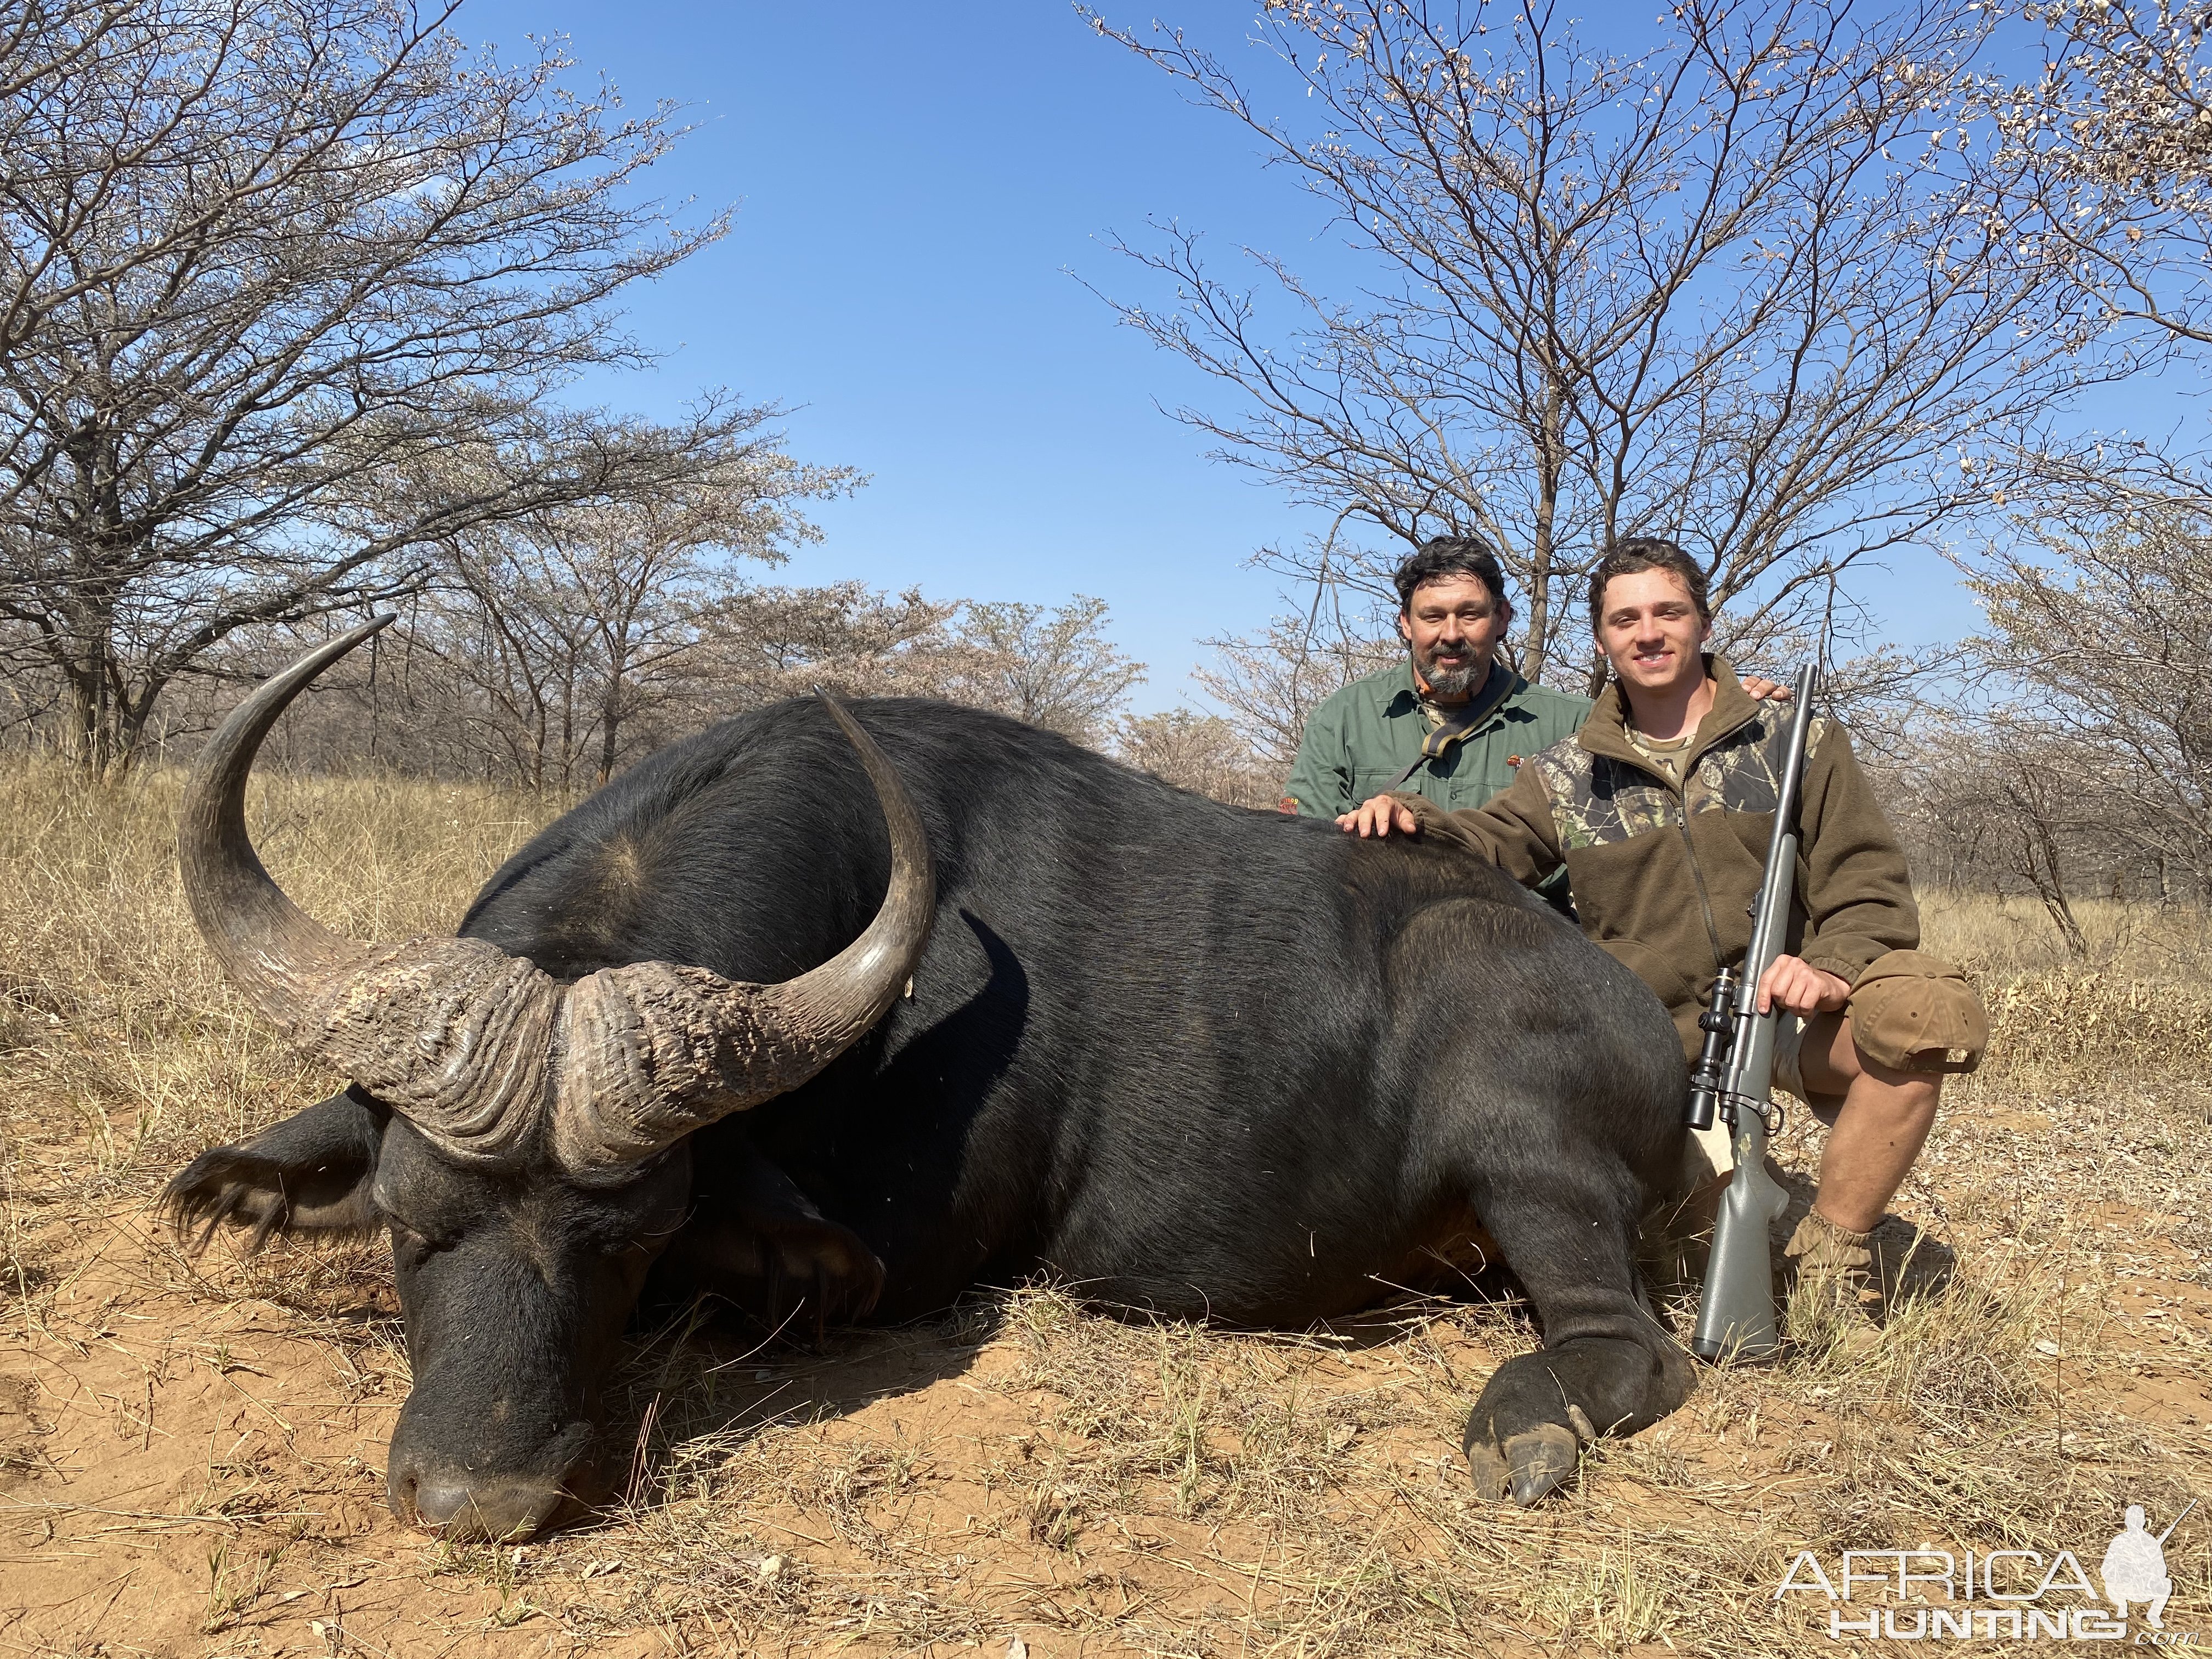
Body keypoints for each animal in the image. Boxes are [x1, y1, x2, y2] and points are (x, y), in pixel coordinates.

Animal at [168, 624, 1690, 1548]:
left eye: (634, 1240)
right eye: (408, 1221)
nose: (484, 1499)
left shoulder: (896, 1264)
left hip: (1533, 1162)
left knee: (1627, 1346)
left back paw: (1522, 1429)